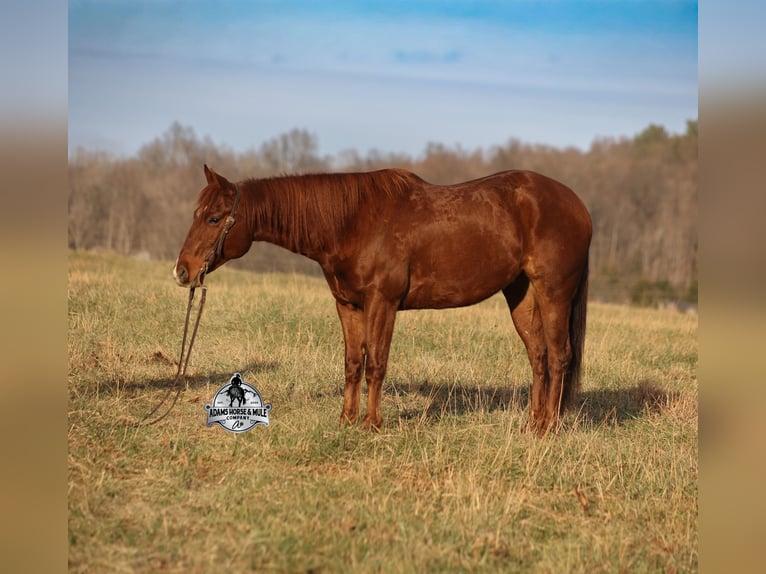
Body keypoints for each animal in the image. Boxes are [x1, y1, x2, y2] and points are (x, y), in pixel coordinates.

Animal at [174, 165, 592, 434]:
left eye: (214, 218)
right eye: (195, 213)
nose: (182, 271)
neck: (350, 222)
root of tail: (578, 205)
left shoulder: (383, 303)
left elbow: (376, 363)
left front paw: (371, 425)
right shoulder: (348, 305)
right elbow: (353, 363)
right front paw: (346, 420)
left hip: (554, 292)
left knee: (559, 356)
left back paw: (550, 427)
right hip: (522, 294)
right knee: (539, 356)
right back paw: (533, 423)